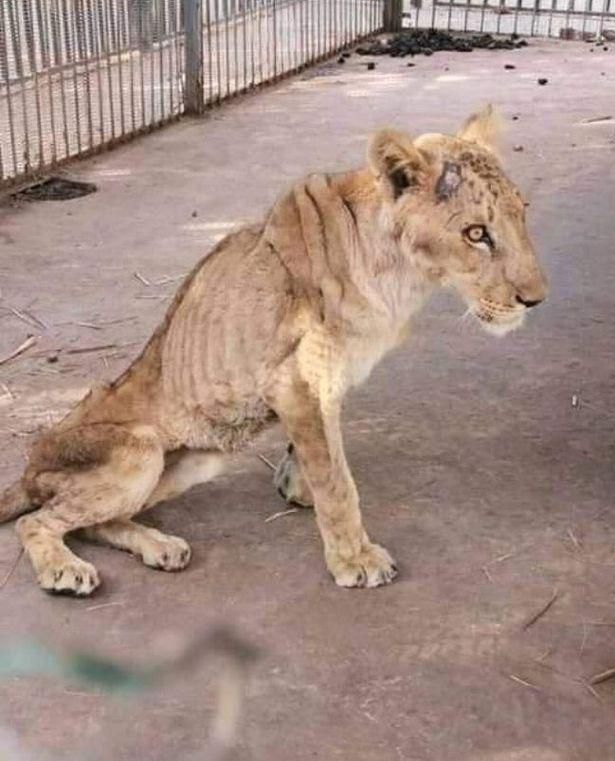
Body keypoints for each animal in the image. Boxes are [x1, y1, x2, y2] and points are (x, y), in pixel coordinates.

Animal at [0, 106, 547, 596]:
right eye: (476, 233)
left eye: (522, 215)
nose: (536, 299)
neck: (402, 277)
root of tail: (28, 467)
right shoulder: (298, 380)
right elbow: (336, 479)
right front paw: (354, 559)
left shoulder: (323, 381)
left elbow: (319, 453)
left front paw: (295, 484)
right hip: (139, 450)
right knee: (39, 521)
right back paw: (65, 569)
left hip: (198, 460)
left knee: (95, 521)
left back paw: (161, 547)